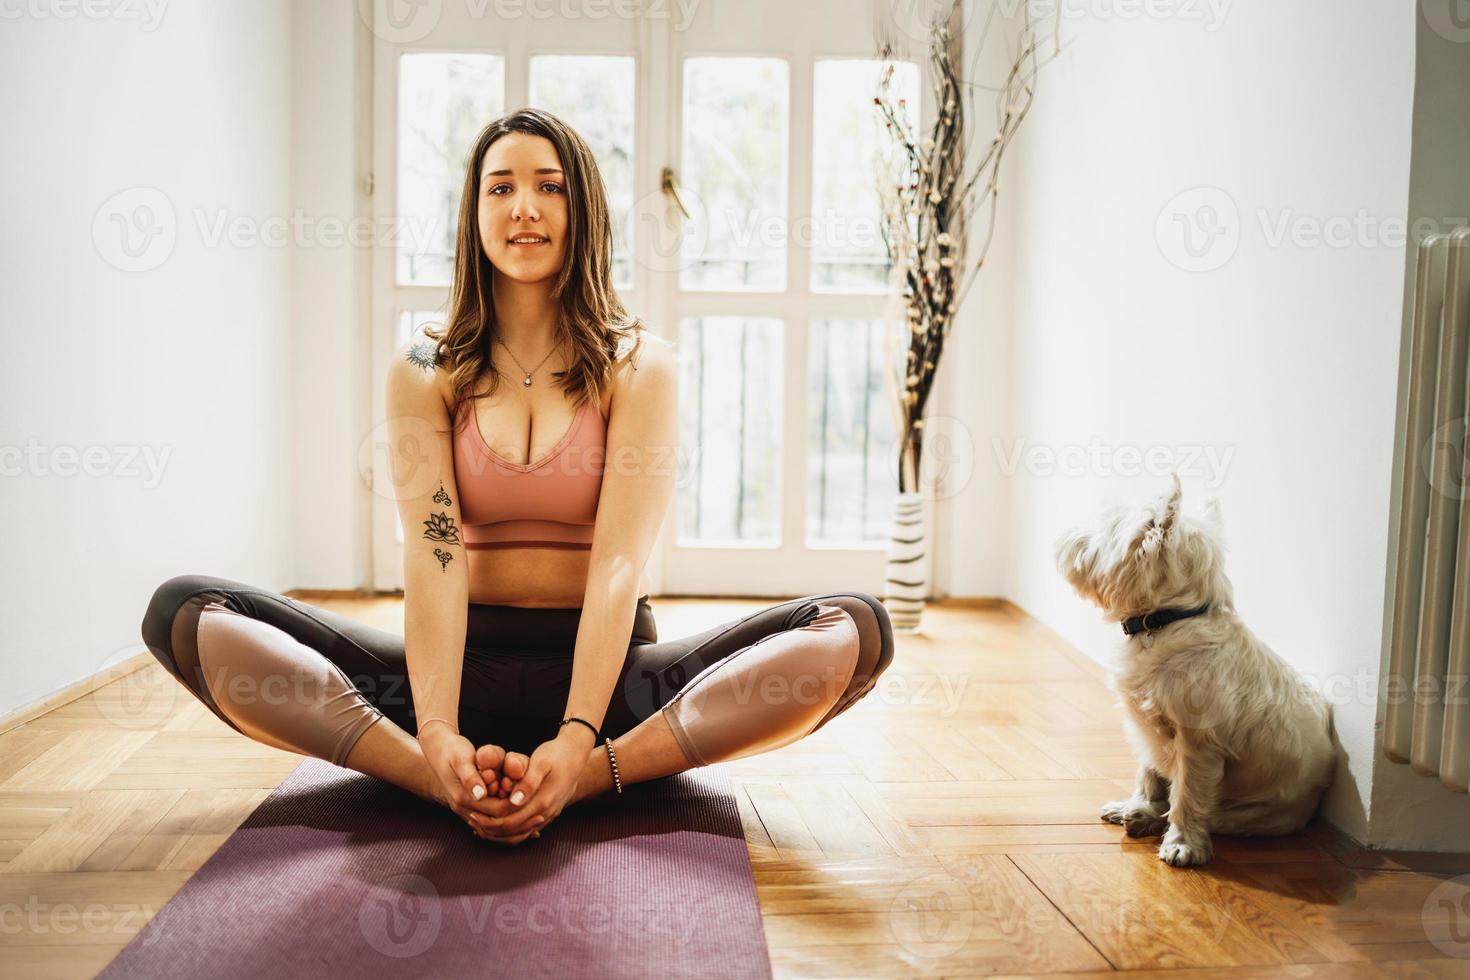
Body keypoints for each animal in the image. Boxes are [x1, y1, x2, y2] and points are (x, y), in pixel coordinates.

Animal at [1052, 476, 1340, 863]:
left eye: (1108, 526)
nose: (1064, 535)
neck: (1166, 619)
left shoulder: (1197, 741)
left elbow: (1188, 794)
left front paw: (1182, 844)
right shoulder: (1148, 726)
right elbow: (1148, 771)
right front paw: (1139, 804)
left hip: (1258, 812)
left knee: (1213, 813)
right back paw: (1140, 814)